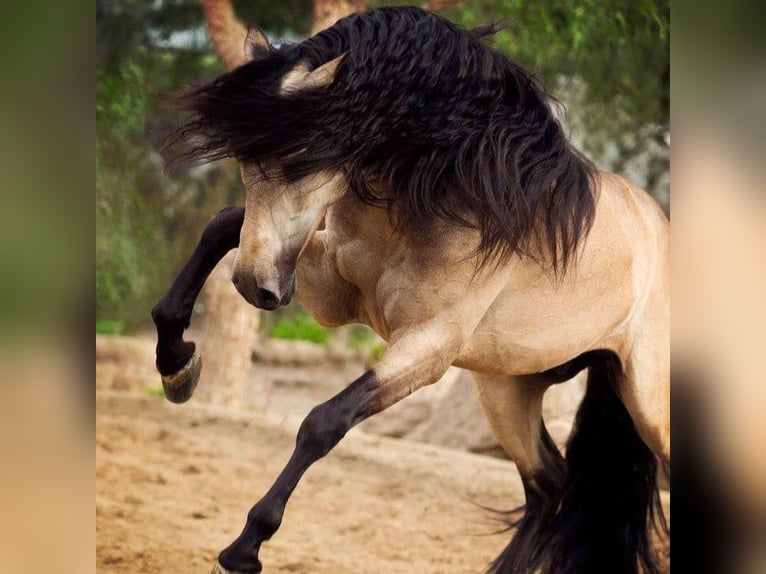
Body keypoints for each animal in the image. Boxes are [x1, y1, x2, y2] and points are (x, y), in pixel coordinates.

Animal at [154, 5, 672, 574]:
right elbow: (223, 224)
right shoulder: (334, 292)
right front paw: (177, 365)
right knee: (548, 484)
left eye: (301, 159)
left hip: (650, 409)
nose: (255, 287)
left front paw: (243, 549)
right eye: (245, 161)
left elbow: (323, 421)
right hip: (506, 389)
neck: (456, 192)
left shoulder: (426, 348)